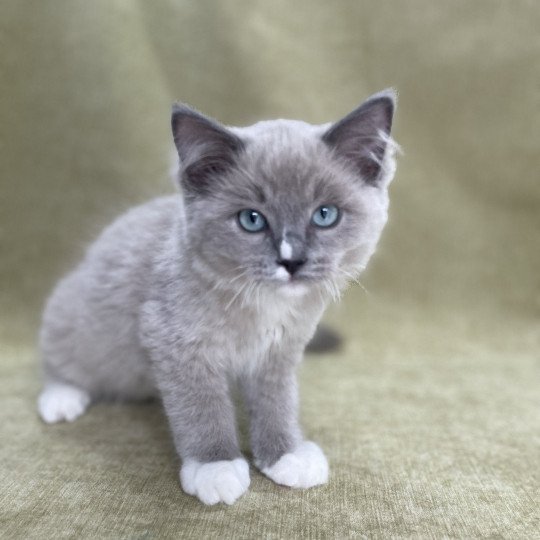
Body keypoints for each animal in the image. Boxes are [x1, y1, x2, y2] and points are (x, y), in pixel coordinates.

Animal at [34, 89, 396, 506]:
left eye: (325, 215)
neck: (263, 306)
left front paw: (285, 454)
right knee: (59, 359)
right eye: (252, 220)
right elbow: (202, 409)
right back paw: (61, 399)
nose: (291, 261)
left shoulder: (279, 352)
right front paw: (216, 467)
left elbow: (278, 403)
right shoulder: (177, 345)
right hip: (78, 322)